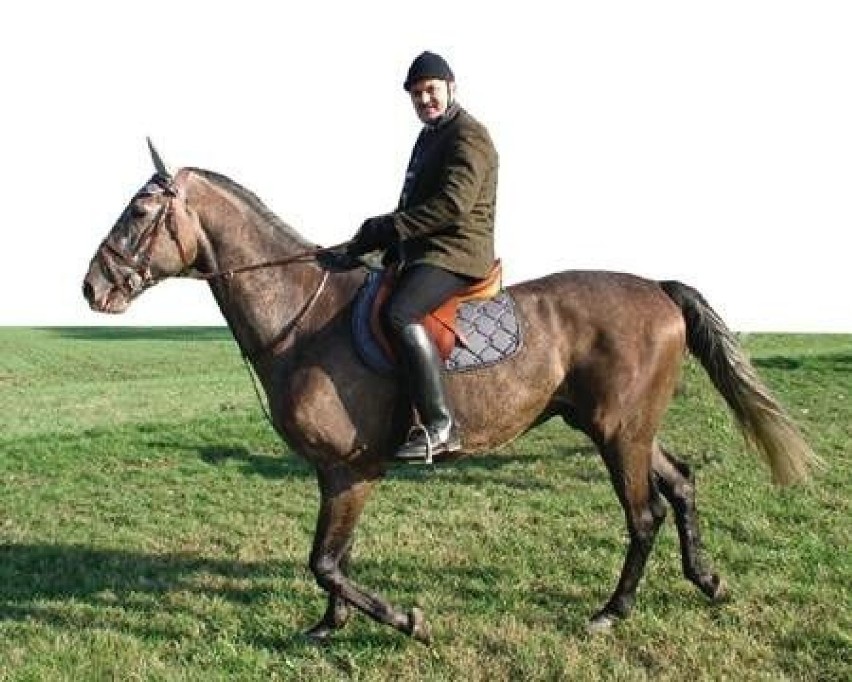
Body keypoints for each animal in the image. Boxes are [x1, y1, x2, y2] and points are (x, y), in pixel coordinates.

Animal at [80, 141, 820, 640]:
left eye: (140, 210)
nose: (92, 287)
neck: (304, 317)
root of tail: (659, 289)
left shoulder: (354, 470)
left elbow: (325, 561)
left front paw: (407, 620)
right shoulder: (333, 472)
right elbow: (333, 556)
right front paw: (329, 626)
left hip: (617, 434)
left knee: (644, 516)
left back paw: (611, 612)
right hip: (622, 428)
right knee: (683, 485)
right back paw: (708, 581)